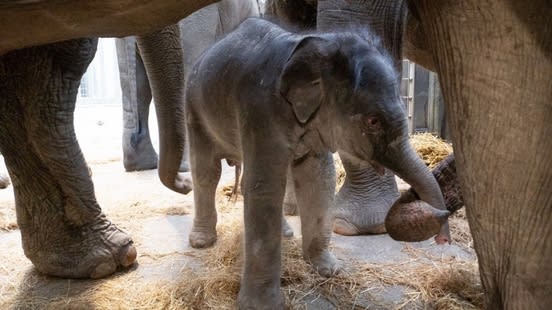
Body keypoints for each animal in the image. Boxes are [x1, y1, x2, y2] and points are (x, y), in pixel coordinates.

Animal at [188, 17, 446, 310]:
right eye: (373, 121)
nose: (442, 239)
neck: (316, 46)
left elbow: (318, 179)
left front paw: (329, 269)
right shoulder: (260, 111)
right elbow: (265, 186)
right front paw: (263, 305)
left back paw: (285, 234)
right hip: (193, 105)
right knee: (206, 171)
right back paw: (201, 241)